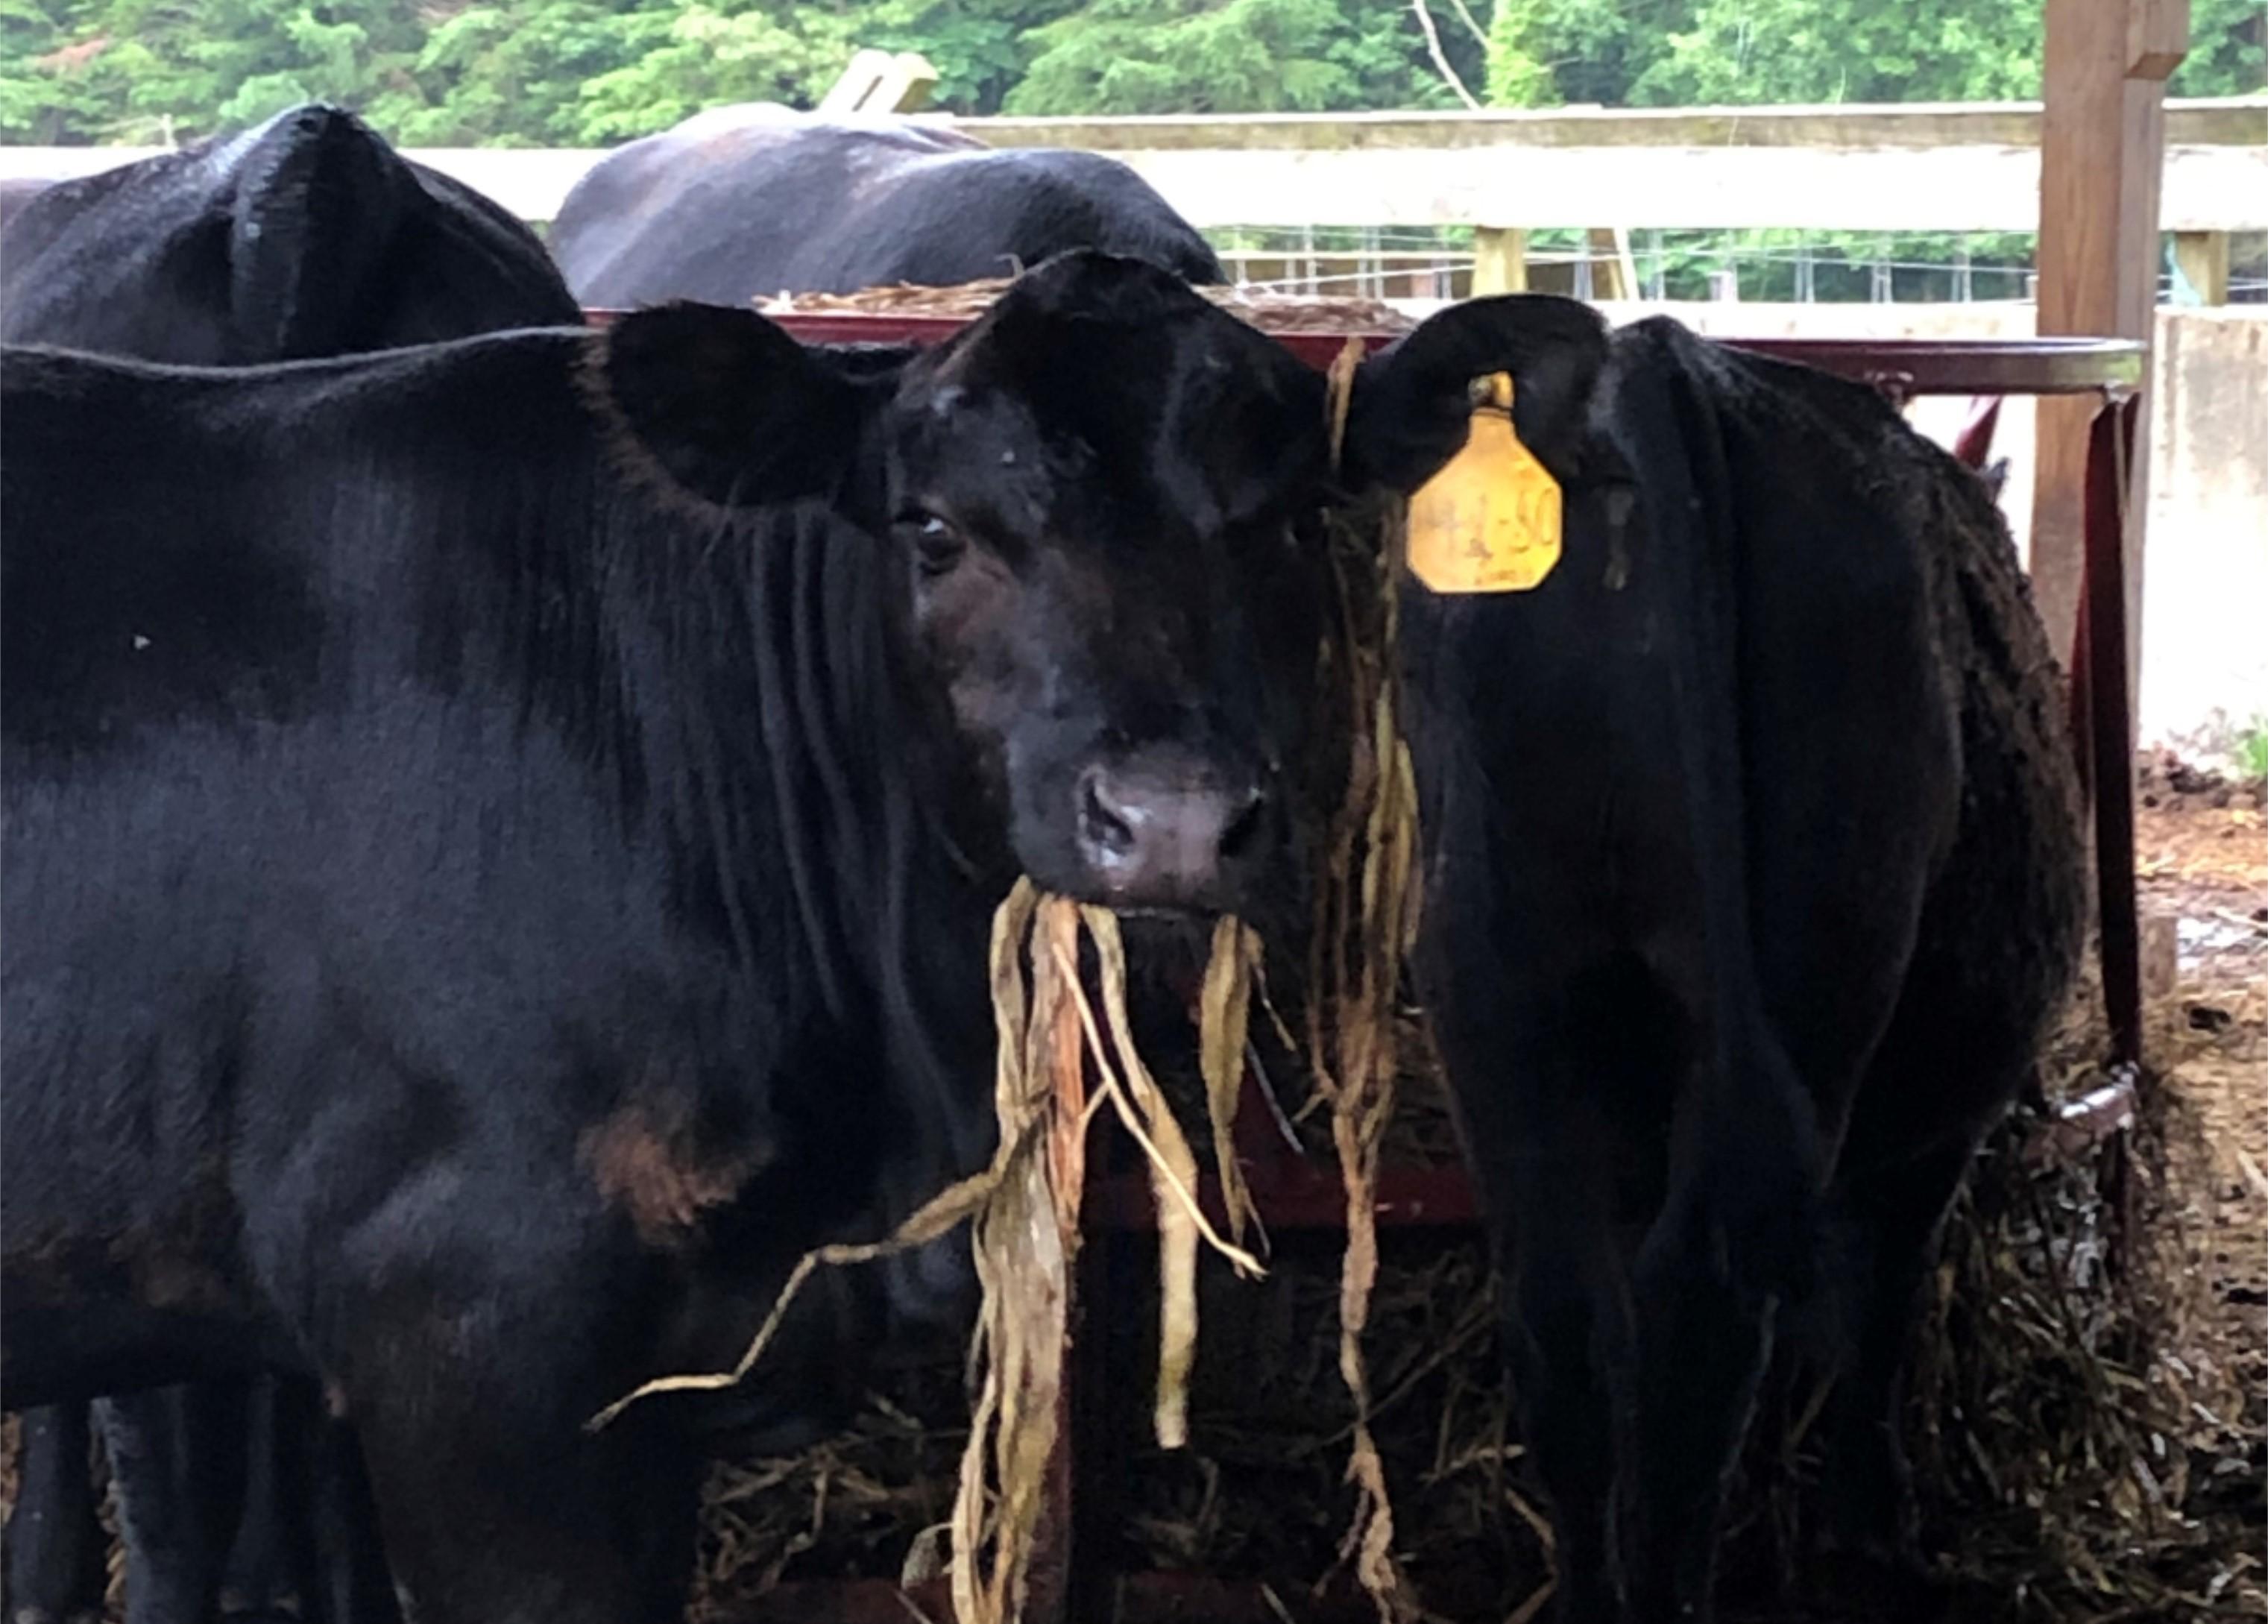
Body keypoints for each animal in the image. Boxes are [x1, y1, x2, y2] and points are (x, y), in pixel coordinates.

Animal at [1342, 297, 2086, 1614]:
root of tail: (1652, 363)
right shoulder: (1935, 1137)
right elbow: (1882, 1300)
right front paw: (1870, 1524)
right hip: (1814, 967)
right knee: (1705, 1316)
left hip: (1493, 979)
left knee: (1564, 1319)